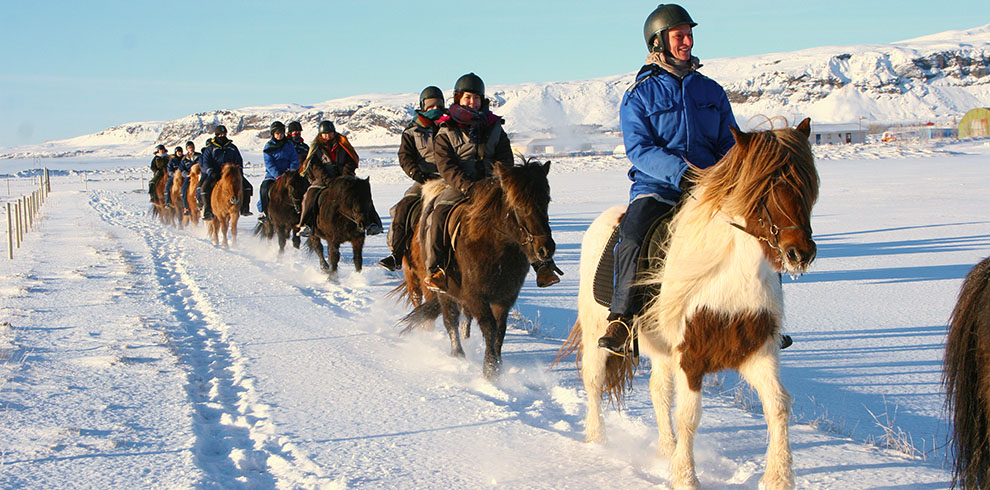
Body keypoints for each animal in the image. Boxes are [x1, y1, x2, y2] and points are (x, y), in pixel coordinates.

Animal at [402, 159, 560, 380]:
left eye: (546, 200)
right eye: (518, 205)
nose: (546, 248)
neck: (494, 247)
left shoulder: (505, 298)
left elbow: (500, 330)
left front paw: (498, 366)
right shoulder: (476, 296)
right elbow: (489, 327)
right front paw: (490, 369)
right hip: (439, 289)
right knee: (450, 319)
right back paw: (458, 354)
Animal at [560, 119, 816, 490]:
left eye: (808, 185)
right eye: (766, 186)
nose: (800, 254)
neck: (729, 275)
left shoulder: (758, 352)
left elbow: (778, 405)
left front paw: (778, 479)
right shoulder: (691, 357)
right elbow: (689, 415)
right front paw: (685, 478)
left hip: (661, 349)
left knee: (658, 392)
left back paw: (665, 449)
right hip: (599, 335)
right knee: (593, 382)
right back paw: (597, 441)